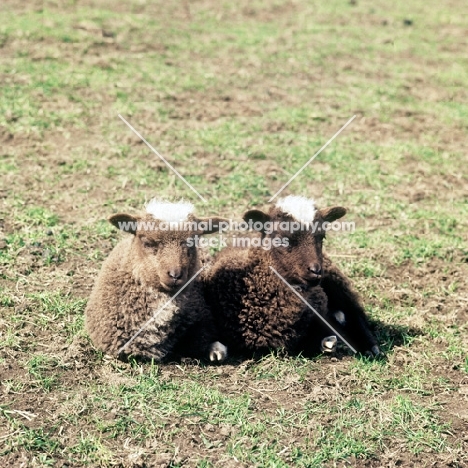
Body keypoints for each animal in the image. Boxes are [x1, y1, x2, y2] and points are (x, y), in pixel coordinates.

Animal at [205, 196, 380, 356]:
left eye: (322, 236)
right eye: (281, 240)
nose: (316, 270)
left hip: (334, 279)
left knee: (354, 311)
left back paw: (370, 347)